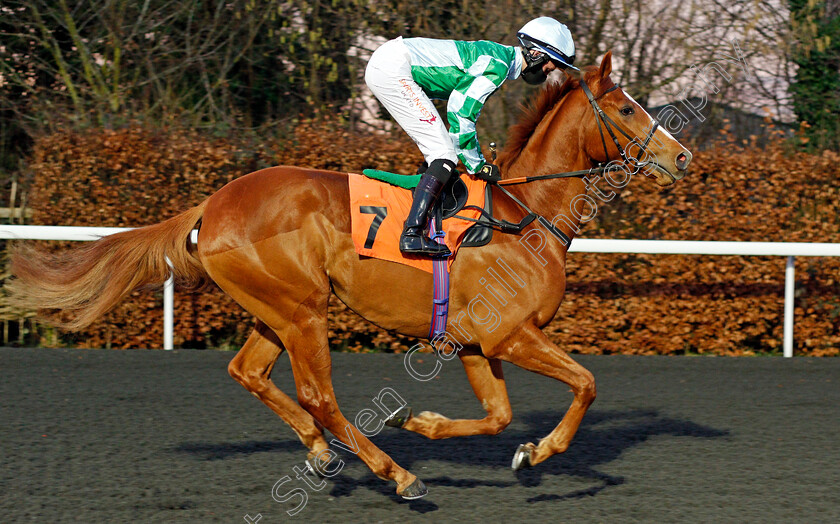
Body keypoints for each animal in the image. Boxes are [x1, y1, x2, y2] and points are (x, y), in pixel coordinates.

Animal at [9, 52, 688, 500]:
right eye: (625, 107)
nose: (680, 155)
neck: (526, 217)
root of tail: (212, 205)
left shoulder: (473, 343)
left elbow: (497, 416)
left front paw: (426, 423)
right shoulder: (509, 335)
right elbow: (587, 384)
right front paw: (538, 450)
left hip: (279, 309)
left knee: (248, 372)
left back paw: (320, 453)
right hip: (304, 310)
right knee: (318, 395)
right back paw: (395, 474)